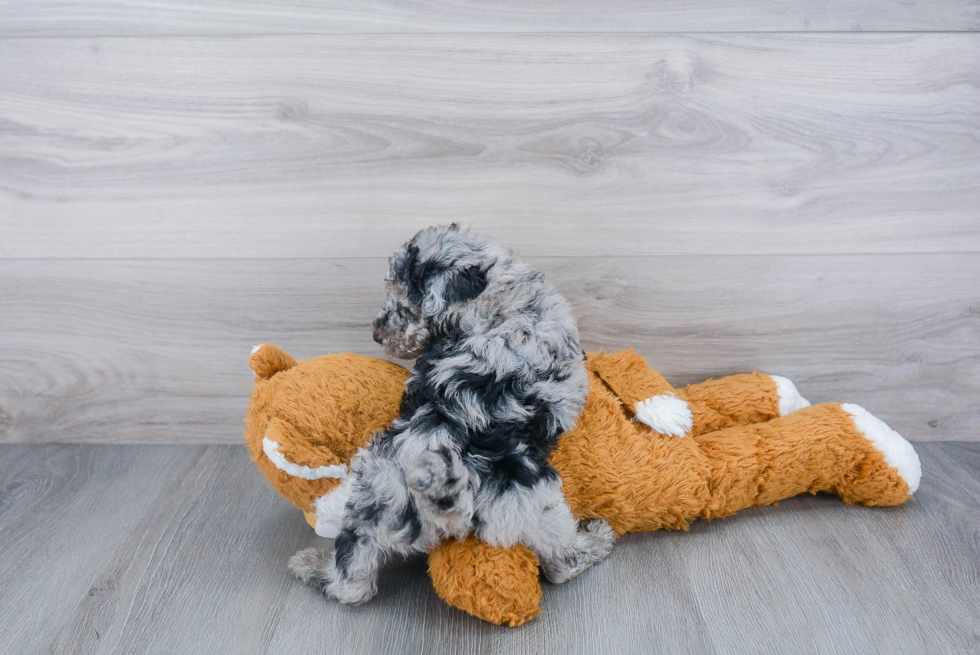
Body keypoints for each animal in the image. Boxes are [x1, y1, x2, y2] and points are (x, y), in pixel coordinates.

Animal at [288, 224, 616, 604]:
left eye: (407, 306)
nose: (377, 334)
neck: (492, 295)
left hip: (369, 502)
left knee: (352, 580)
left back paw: (312, 567)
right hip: (535, 502)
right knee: (561, 561)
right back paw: (596, 540)